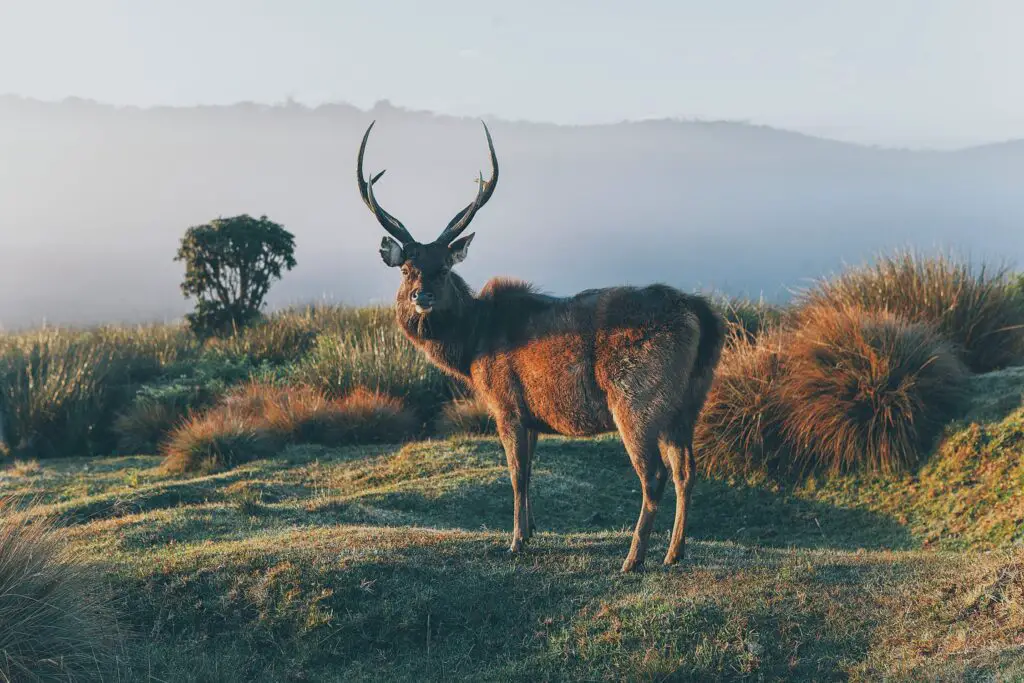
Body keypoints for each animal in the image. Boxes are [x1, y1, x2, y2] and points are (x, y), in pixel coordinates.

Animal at [356, 121, 724, 573]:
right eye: (407, 268)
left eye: (442, 269)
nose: (420, 296)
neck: (473, 346)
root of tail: (703, 316)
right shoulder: (532, 414)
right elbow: (530, 472)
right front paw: (531, 531)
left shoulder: (505, 402)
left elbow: (515, 473)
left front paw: (514, 541)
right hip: (689, 401)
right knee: (686, 469)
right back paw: (675, 552)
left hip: (637, 399)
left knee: (653, 474)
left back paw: (633, 558)